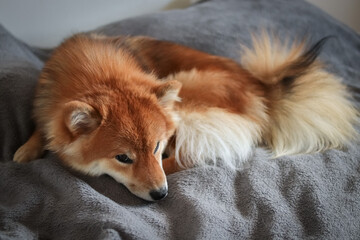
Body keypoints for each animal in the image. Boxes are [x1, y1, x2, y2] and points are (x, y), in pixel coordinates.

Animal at [12, 31, 358, 201]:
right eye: (123, 157)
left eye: (155, 147)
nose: (161, 194)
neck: (97, 73)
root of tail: (261, 85)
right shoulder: (47, 104)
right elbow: (44, 127)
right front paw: (26, 150)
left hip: (187, 93)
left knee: (190, 157)